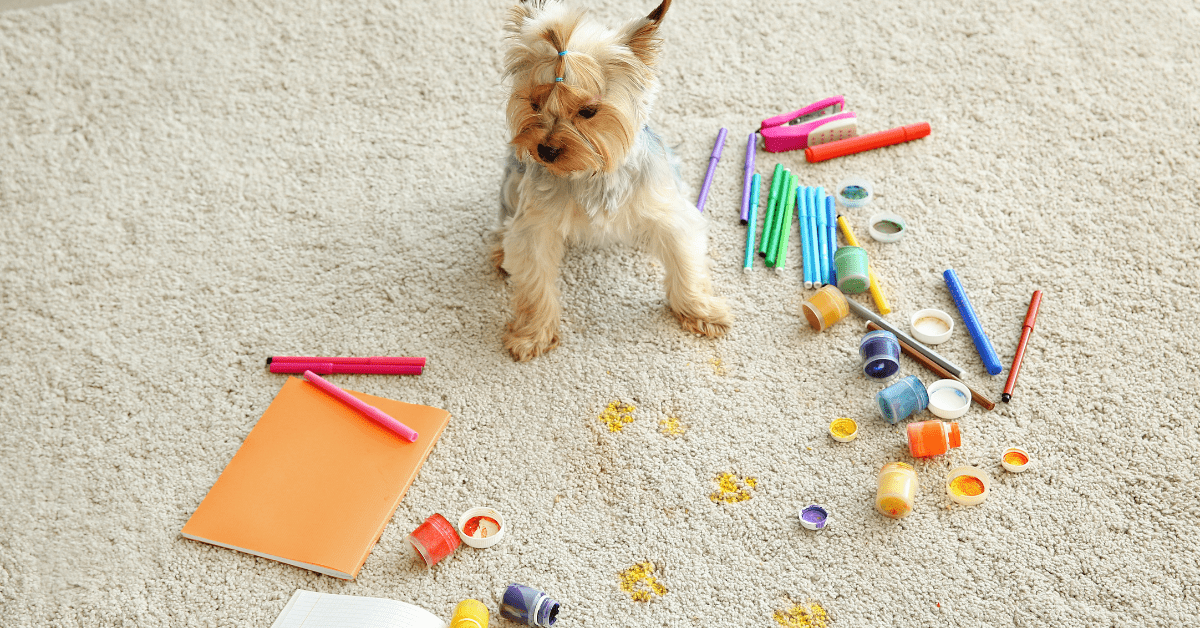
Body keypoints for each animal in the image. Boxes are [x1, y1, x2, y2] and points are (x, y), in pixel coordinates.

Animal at [489, 0, 729, 360]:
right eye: (534, 104)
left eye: (588, 111)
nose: (545, 150)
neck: (591, 173)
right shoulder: (534, 228)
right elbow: (535, 284)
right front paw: (533, 334)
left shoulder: (669, 215)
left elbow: (685, 264)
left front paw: (700, 310)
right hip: (513, 184)